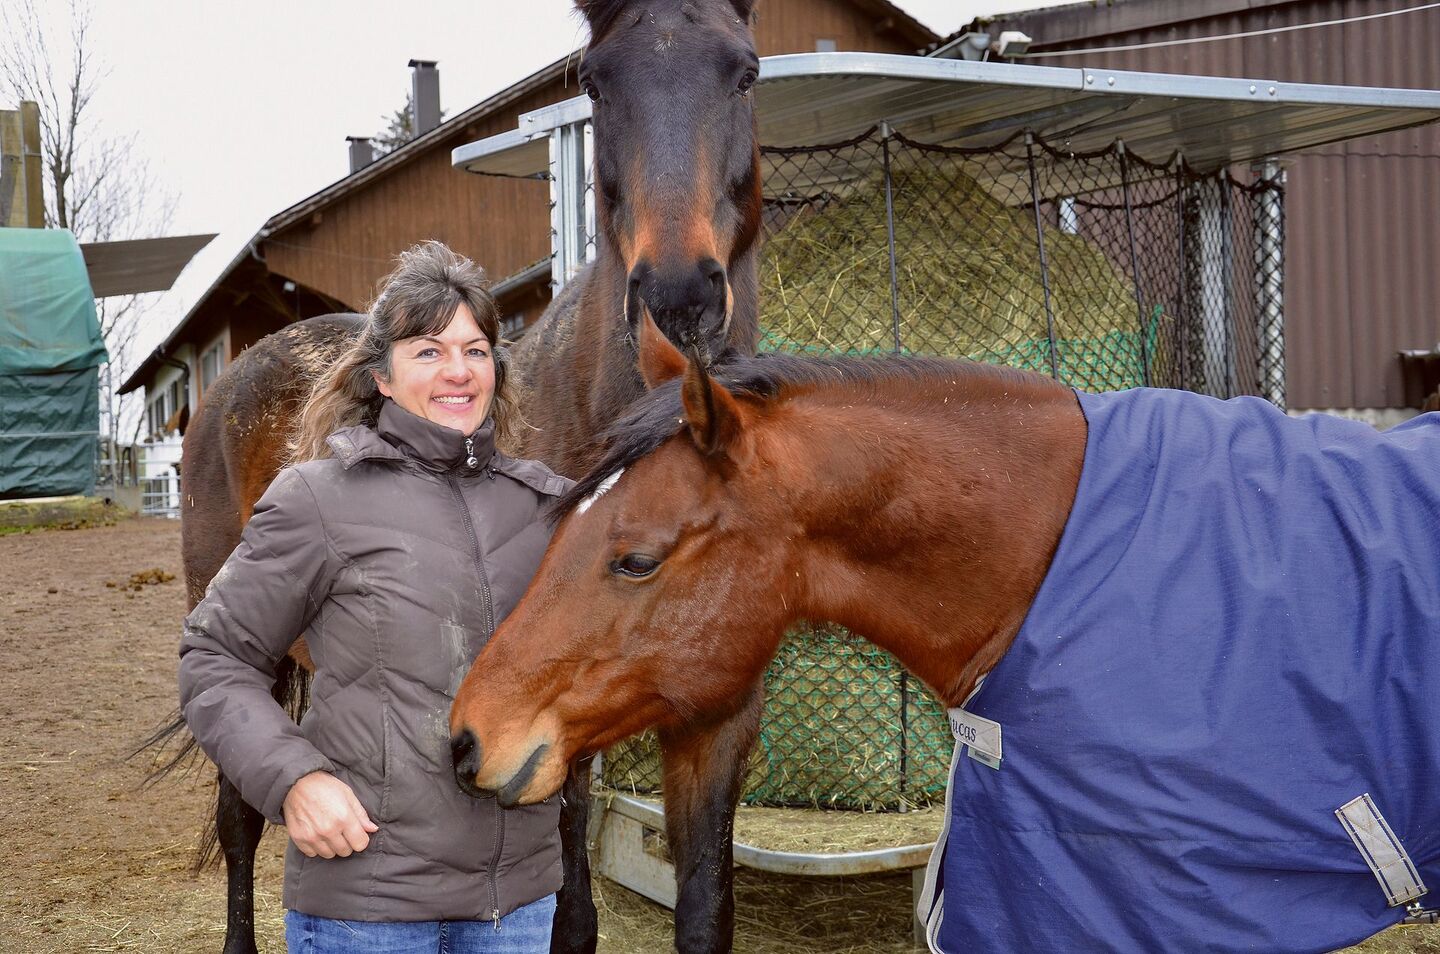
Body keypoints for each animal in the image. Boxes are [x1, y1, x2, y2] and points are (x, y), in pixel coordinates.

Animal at [151, 1, 766, 952]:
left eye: (745, 72)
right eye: (594, 83)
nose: (678, 298)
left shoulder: (719, 721)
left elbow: (705, 907)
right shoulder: (540, 715)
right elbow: (570, 913)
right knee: (241, 816)